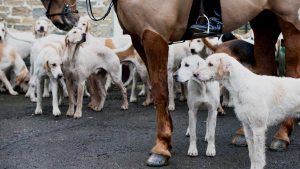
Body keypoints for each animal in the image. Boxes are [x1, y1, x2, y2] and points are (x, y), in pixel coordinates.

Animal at [39, 0, 300, 166]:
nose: (62, 18)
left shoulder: (153, 35)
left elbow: (162, 91)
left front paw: (162, 147)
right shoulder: (139, 38)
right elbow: (158, 89)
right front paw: (167, 139)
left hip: (289, 19)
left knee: (293, 71)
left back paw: (282, 135)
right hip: (264, 18)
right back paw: (244, 133)